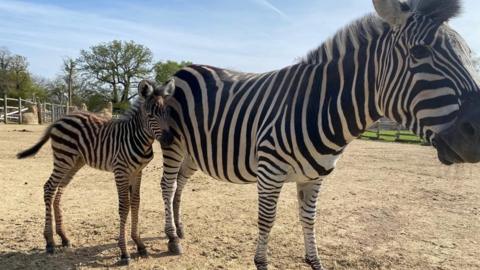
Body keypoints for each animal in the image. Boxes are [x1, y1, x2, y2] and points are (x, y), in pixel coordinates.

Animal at [17, 79, 174, 264]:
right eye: (150, 115)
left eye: (167, 113)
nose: (170, 139)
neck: (138, 139)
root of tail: (61, 118)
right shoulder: (120, 171)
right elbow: (124, 207)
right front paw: (124, 252)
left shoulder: (137, 172)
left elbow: (135, 204)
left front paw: (139, 244)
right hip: (63, 158)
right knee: (49, 188)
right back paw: (50, 242)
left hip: (75, 162)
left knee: (59, 190)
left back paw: (63, 237)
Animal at [156, 1, 478, 268]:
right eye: (420, 52)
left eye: (470, 57)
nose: (476, 133)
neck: (318, 107)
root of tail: (183, 69)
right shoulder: (270, 172)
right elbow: (267, 220)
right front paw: (261, 262)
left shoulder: (315, 176)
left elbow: (309, 220)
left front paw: (314, 261)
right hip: (173, 144)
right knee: (167, 185)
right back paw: (172, 238)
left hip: (194, 151)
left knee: (181, 182)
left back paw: (179, 228)